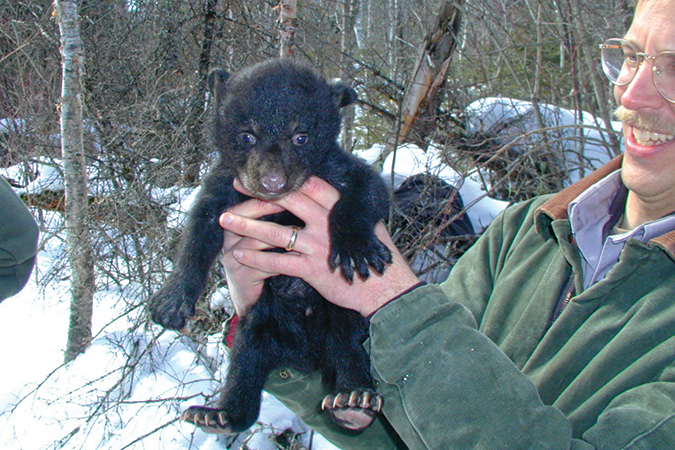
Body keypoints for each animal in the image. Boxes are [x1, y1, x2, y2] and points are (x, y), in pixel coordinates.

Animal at [148, 58, 392, 434]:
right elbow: (197, 233)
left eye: (301, 136)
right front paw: (171, 302)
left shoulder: (340, 168)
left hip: (339, 312)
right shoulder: (223, 186)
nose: (272, 181)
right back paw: (218, 416)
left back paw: (354, 399)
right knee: (244, 366)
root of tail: (303, 356)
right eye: (247, 135)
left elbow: (367, 191)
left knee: (348, 344)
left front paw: (356, 248)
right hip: (256, 323)